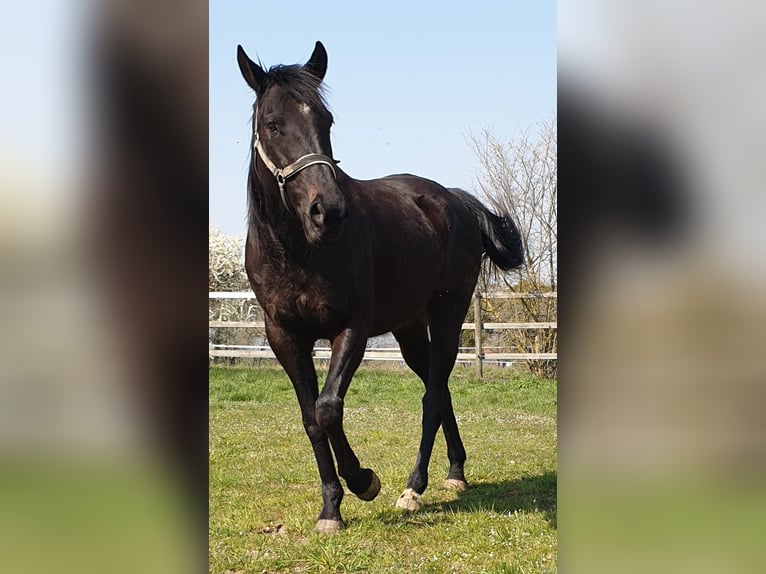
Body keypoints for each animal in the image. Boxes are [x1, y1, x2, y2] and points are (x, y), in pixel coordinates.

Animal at [236, 41, 524, 533]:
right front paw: (330, 509)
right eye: (272, 124)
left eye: (327, 120)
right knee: (439, 387)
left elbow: (328, 407)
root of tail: (453, 199)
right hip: (409, 330)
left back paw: (414, 487)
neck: (298, 252)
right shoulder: (283, 337)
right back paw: (455, 472)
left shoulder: (350, 329)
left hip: (447, 317)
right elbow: (310, 418)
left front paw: (364, 481)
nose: (329, 212)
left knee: (432, 395)